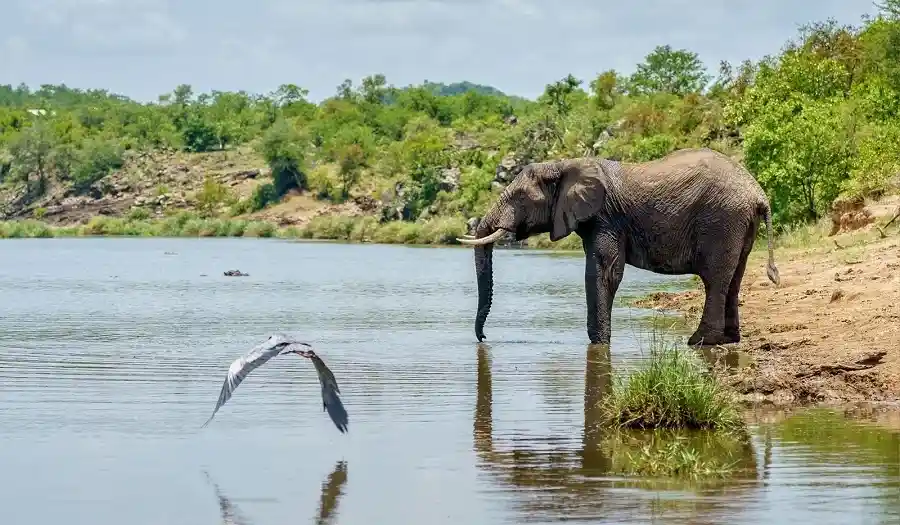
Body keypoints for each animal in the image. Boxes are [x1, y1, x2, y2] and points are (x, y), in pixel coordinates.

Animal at [458, 148, 780, 347]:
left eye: (521, 198)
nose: (484, 339)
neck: (565, 164)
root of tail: (758, 193)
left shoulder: (605, 217)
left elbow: (603, 271)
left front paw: (599, 343)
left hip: (721, 219)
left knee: (715, 279)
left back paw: (699, 342)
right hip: (738, 223)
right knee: (734, 277)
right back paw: (729, 340)